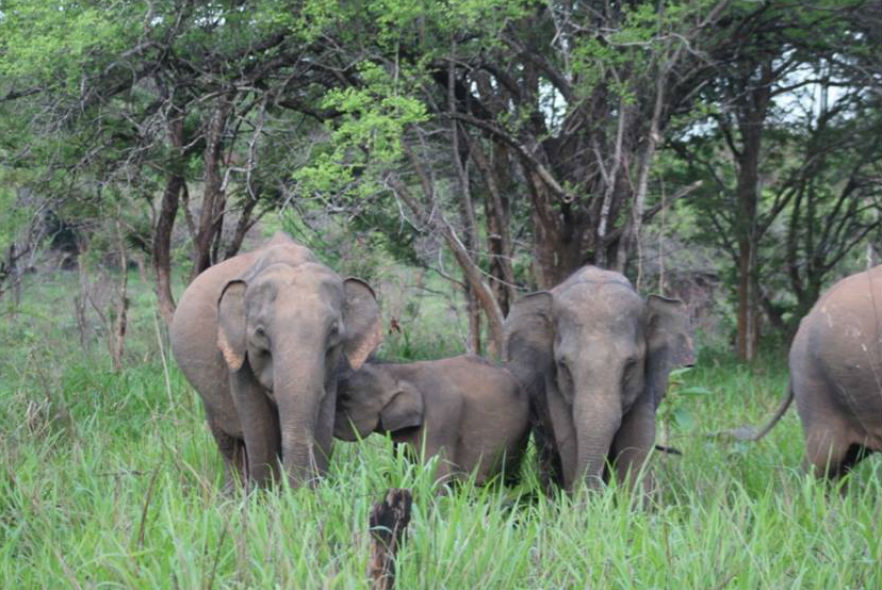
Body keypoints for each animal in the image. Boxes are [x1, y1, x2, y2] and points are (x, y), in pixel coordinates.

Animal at [170, 231, 380, 490]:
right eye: (260, 332)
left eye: (333, 331)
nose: (299, 490)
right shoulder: (238, 357)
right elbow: (258, 424)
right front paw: (265, 495)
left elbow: (323, 418)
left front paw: (312, 492)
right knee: (228, 442)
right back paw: (234, 493)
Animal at [502, 268, 696, 494]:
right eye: (563, 364)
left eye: (631, 364)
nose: (596, 491)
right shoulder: (551, 380)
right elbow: (570, 439)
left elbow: (637, 439)